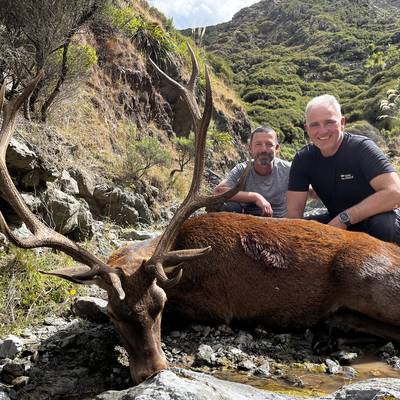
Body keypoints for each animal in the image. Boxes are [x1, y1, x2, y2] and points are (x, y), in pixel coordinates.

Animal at [2, 48, 400, 386]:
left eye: (160, 304)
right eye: (115, 314)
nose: (152, 371)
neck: (180, 261)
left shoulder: (215, 307)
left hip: (365, 275)